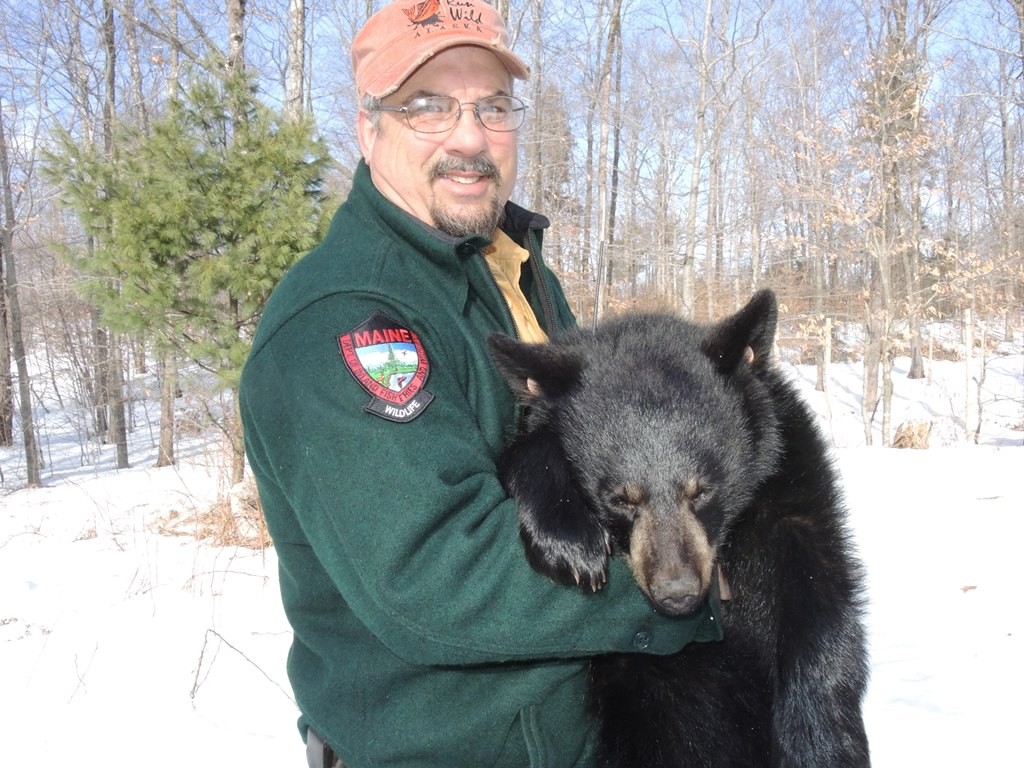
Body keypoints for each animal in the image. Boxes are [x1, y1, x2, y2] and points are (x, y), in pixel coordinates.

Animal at [489, 290, 872, 765]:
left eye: (702, 490)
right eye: (620, 498)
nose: (678, 593)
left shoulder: (792, 486)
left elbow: (822, 601)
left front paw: (819, 744)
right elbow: (526, 451)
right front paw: (569, 545)